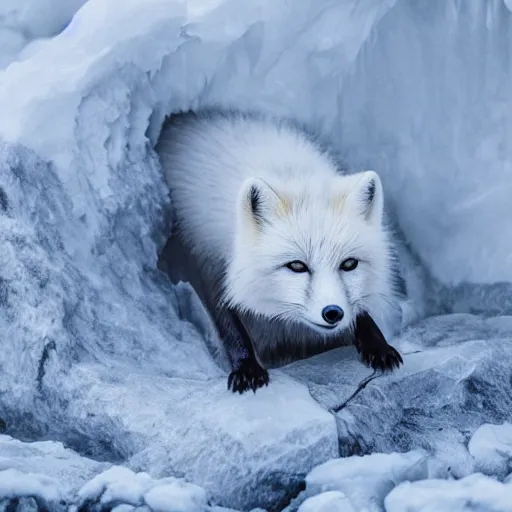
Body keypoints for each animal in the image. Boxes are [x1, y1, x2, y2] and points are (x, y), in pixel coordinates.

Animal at [154, 108, 402, 394]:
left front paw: (377, 344)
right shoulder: (211, 263)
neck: (290, 172)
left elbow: (360, 313)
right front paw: (247, 367)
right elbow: (229, 323)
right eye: (296, 266)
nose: (333, 312)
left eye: (349, 264)